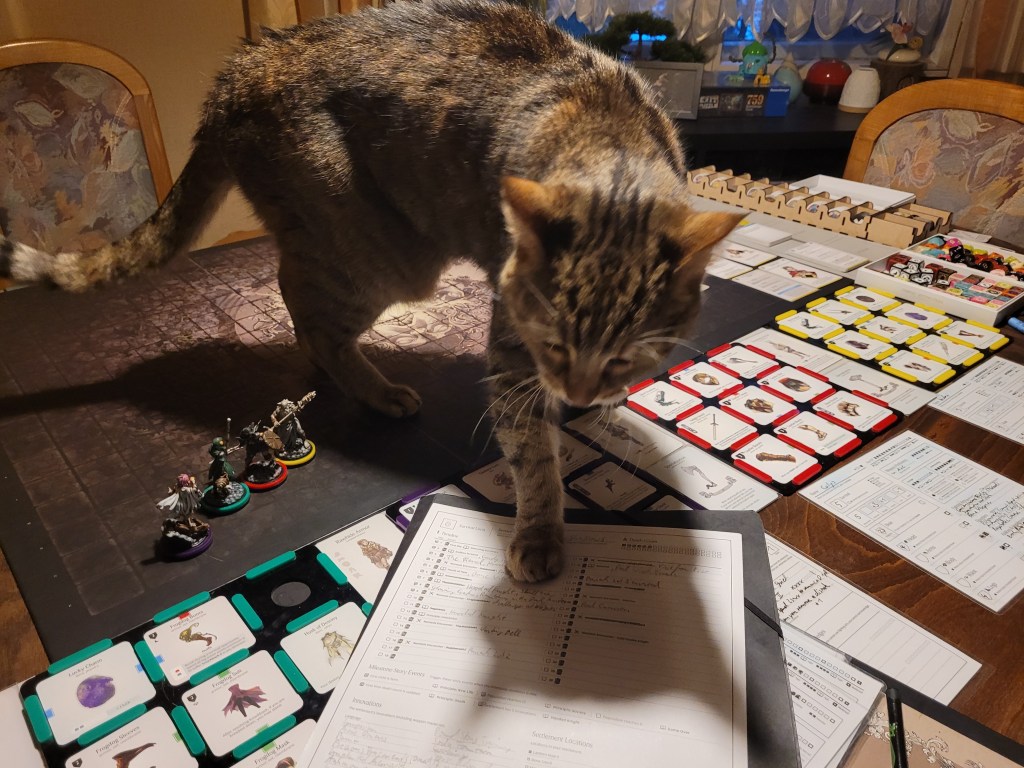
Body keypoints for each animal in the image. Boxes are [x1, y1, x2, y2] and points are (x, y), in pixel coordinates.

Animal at [0, 0, 740, 582]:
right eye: (552, 343)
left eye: (625, 356)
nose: (580, 393)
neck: (611, 145)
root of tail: (240, 69)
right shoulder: (510, 351)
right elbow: (533, 456)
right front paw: (540, 531)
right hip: (383, 255)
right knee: (303, 301)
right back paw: (374, 389)